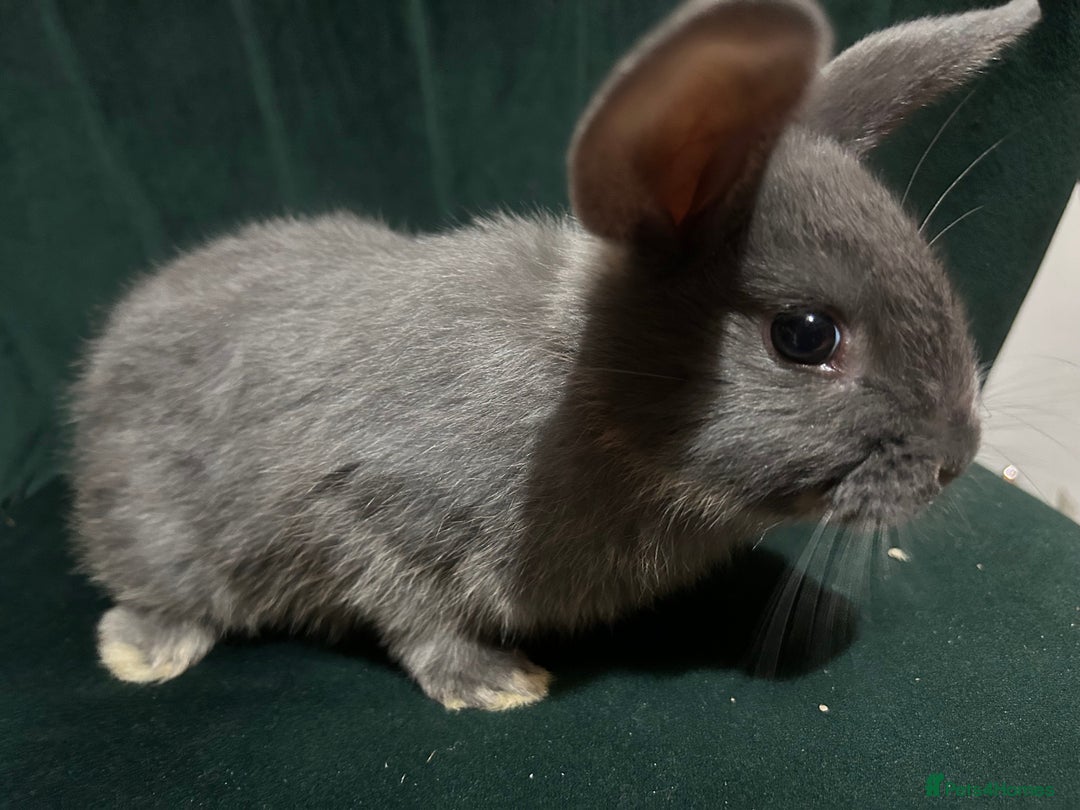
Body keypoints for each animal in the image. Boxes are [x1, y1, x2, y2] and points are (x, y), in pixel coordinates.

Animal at [70, 0, 1040, 710]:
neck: (586, 396)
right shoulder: (369, 507)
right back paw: (145, 651)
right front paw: (498, 683)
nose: (959, 457)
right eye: (805, 335)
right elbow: (409, 610)